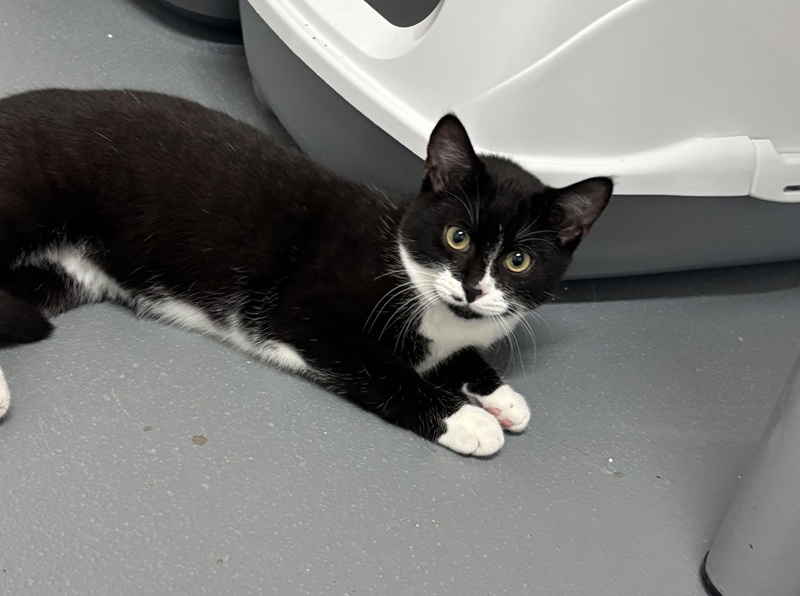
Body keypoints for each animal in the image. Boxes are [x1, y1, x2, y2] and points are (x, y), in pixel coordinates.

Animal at [0, 89, 612, 456]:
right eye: (456, 236)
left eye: (518, 260)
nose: (471, 286)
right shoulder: (307, 314)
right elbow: (385, 369)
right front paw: (467, 420)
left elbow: (454, 357)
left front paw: (499, 394)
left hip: (60, 276)